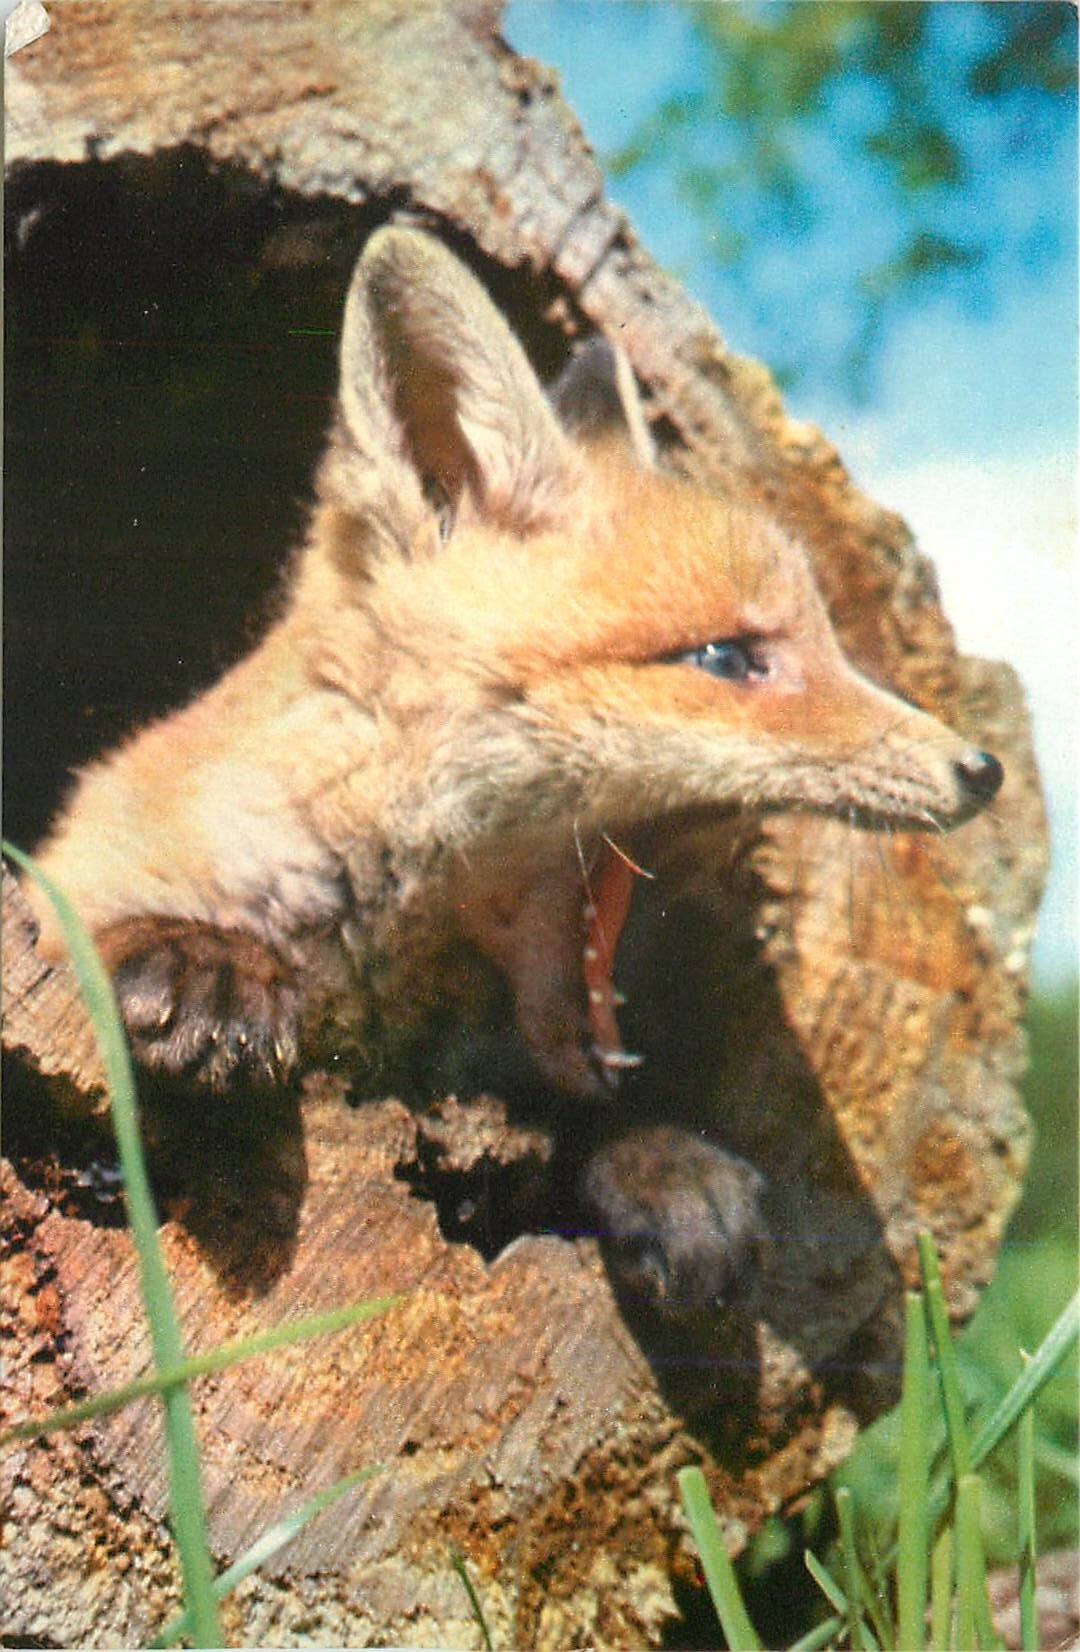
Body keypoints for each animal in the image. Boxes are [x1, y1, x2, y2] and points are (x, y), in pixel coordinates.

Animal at [25, 225, 1003, 1312]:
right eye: (725, 657)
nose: (983, 770)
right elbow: (79, 916)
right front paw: (200, 962)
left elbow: (582, 1129)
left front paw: (658, 1162)